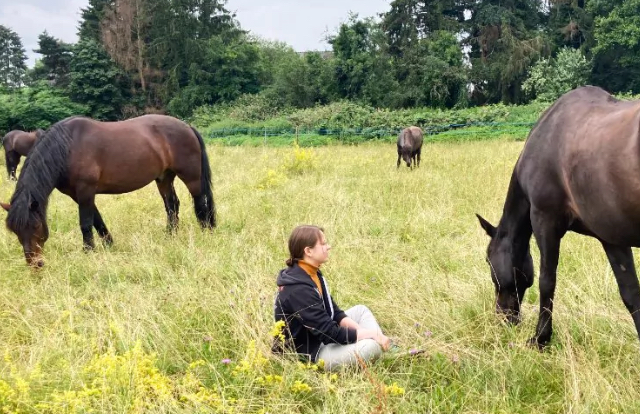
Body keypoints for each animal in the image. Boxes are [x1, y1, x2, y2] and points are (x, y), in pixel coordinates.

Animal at [0, 115, 216, 266]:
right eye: (15, 231)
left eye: (36, 226)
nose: (35, 265)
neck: (68, 147)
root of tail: (187, 127)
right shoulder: (78, 195)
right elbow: (97, 220)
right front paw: (109, 244)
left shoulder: (86, 190)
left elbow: (86, 223)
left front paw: (88, 251)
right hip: (164, 177)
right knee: (172, 205)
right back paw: (170, 235)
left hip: (191, 177)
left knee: (200, 202)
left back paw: (205, 232)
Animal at [476, 86, 640, 350]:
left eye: (488, 260)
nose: (503, 317)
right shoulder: (612, 237)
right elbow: (631, 293)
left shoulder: (545, 221)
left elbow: (547, 281)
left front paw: (540, 338)